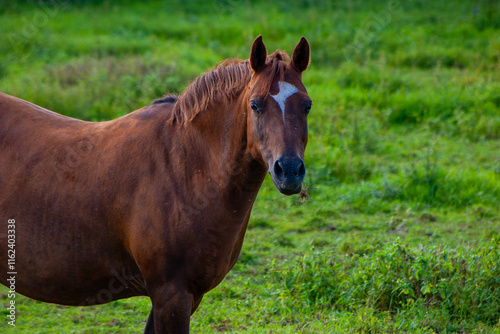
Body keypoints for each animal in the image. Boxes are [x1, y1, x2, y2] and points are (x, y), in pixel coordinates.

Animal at [0, 35, 310, 332]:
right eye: (254, 105)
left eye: (307, 105)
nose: (289, 170)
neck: (185, 168)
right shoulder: (171, 295)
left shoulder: (185, 297)